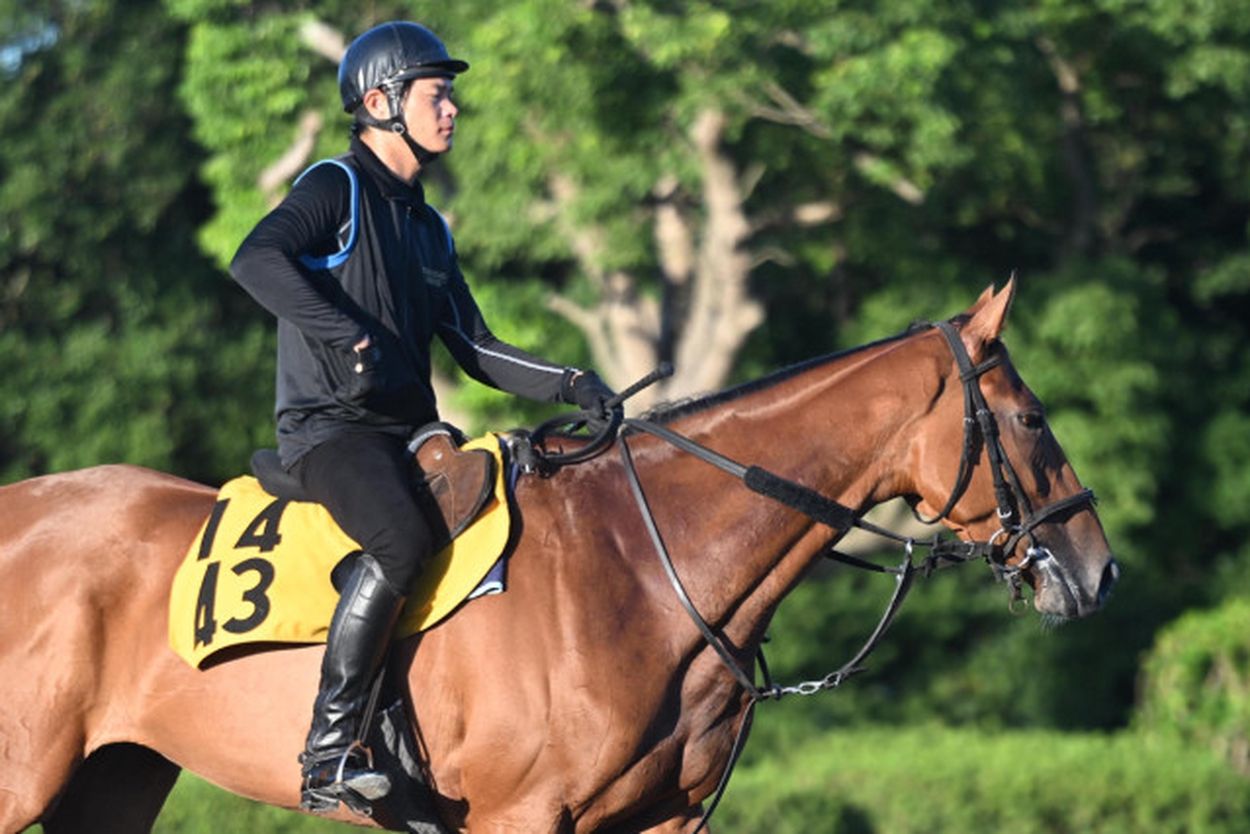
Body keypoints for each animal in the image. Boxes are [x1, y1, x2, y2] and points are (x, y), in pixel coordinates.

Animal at [0, 282, 1115, 834]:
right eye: (1029, 418)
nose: (1097, 570)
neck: (644, 572)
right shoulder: (524, 820)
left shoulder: (659, 826)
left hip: (110, 783)